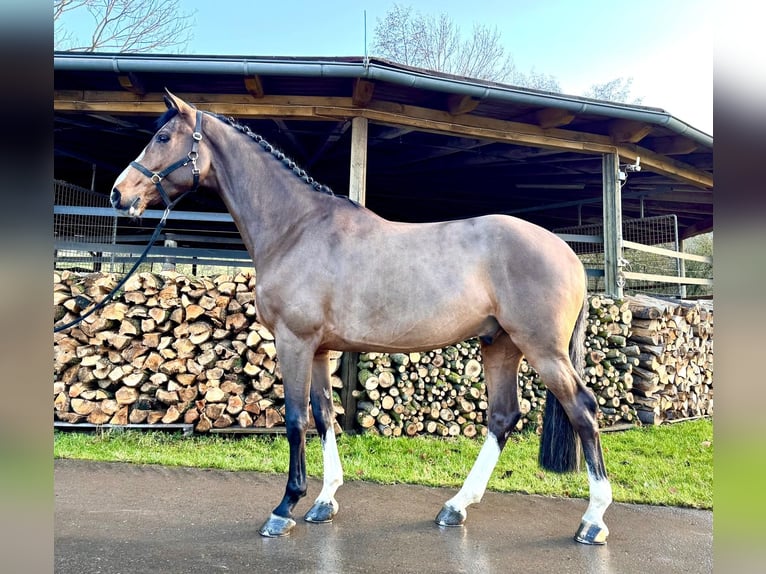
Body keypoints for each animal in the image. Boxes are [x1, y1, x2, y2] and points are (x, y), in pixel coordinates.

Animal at [111, 92, 616, 548]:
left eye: (162, 137)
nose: (119, 194)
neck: (297, 229)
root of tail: (567, 252)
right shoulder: (318, 349)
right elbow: (323, 416)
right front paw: (324, 501)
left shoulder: (294, 342)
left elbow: (295, 419)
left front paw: (284, 508)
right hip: (501, 345)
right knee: (503, 416)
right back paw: (456, 507)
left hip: (542, 349)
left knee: (583, 411)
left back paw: (593, 521)